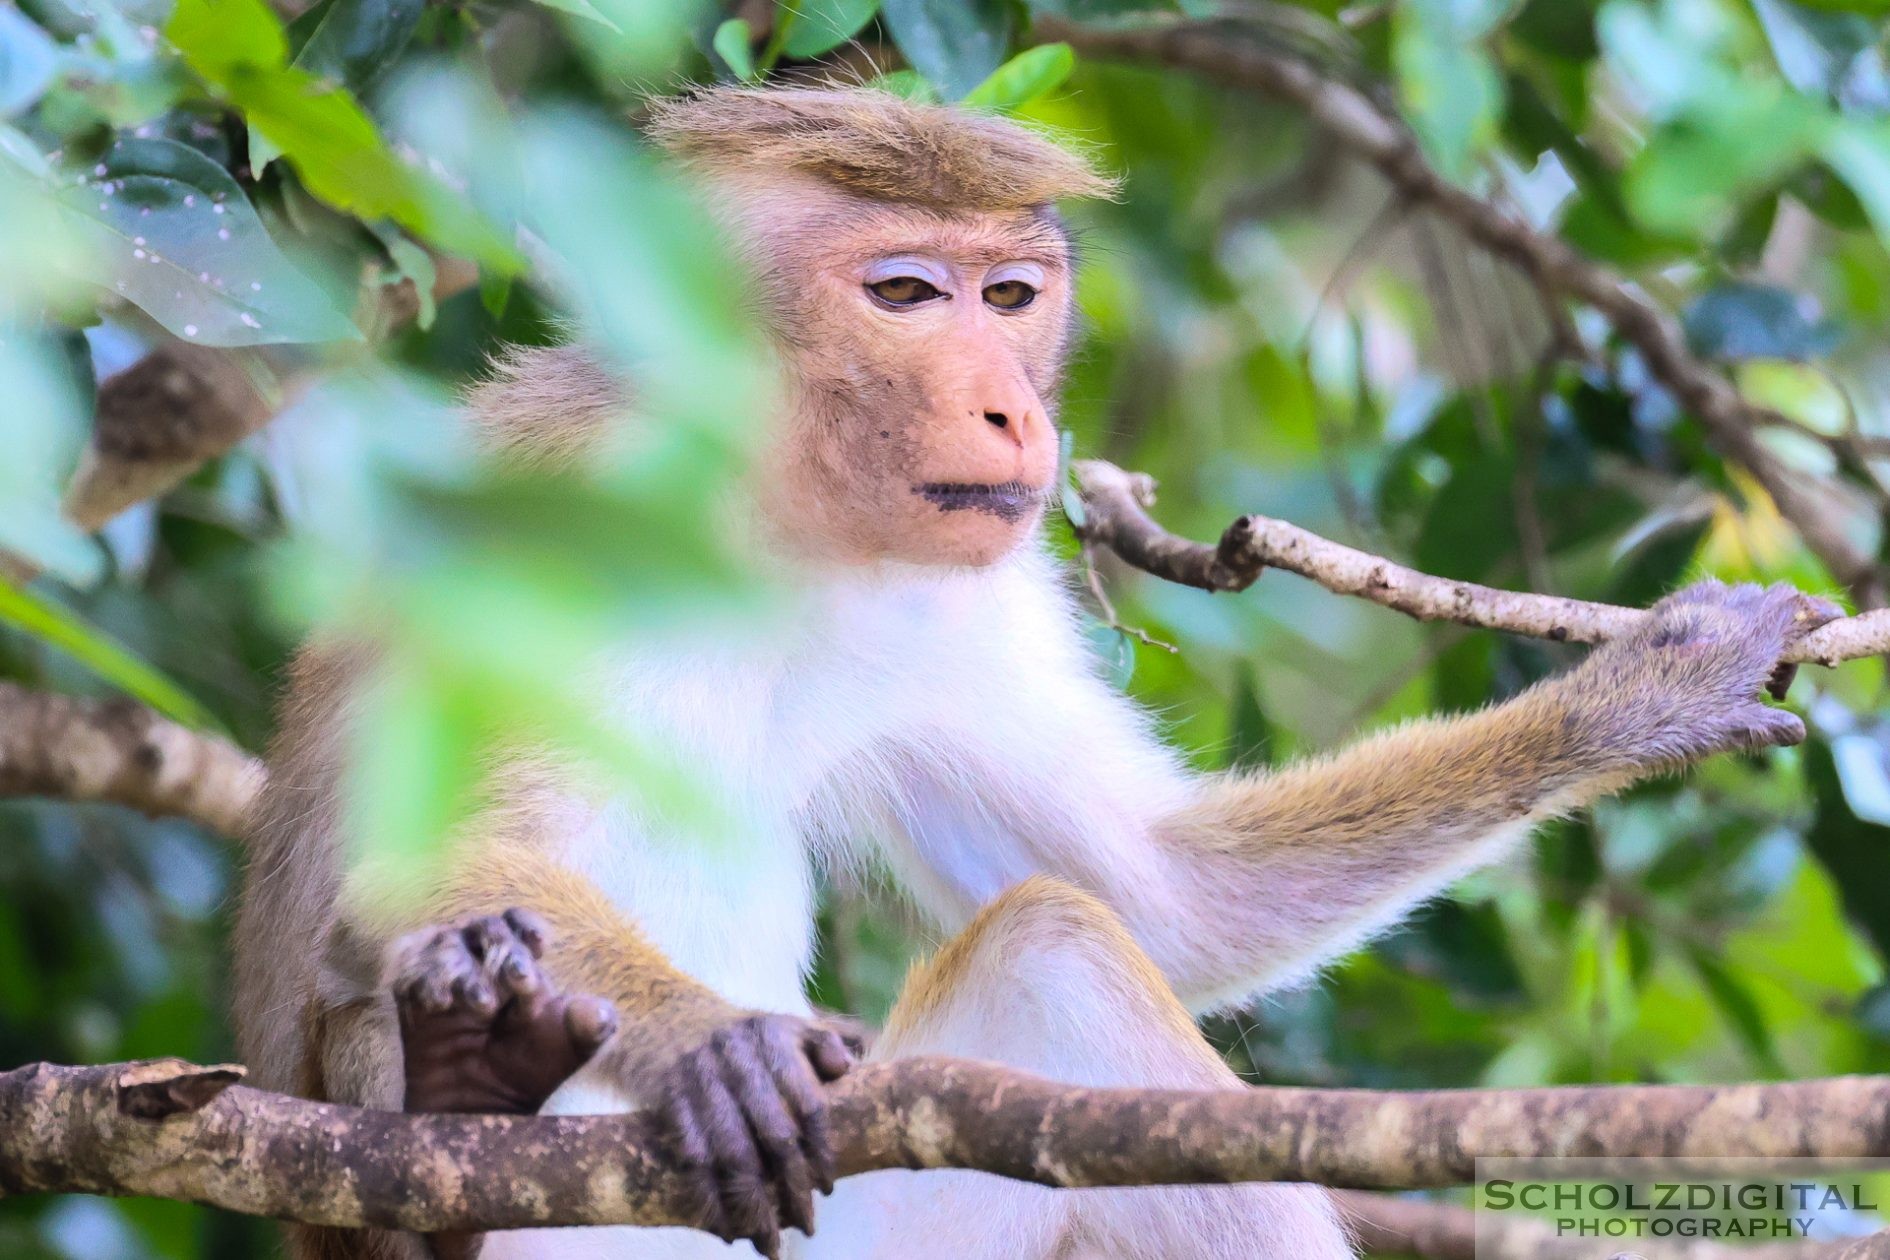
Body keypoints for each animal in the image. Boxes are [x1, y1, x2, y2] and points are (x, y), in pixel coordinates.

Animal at [228, 81, 1837, 1260]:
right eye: (901, 293)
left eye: (1009, 295)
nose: (1014, 410)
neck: (749, 523)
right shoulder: (534, 527)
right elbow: (400, 858)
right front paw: (713, 1043)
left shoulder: (960, 601)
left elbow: (1162, 894)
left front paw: (1646, 694)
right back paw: (465, 1080)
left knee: (1068, 950)